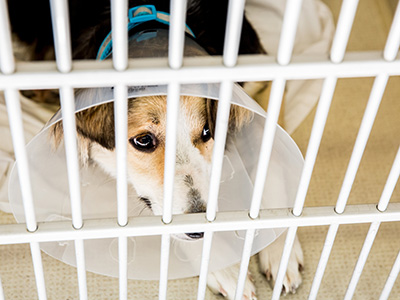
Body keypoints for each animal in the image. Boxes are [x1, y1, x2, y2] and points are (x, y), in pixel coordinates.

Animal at [7, 0, 304, 298]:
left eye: (207, 132)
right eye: (143, 141)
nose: (199, 231)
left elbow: (272, 161)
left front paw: (280, 249)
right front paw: (222, 265)